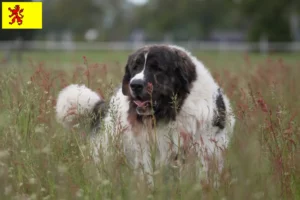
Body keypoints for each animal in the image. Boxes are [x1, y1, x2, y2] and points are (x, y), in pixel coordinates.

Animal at [55, 44, 234, 182]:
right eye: (135, 67)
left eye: (157, 68)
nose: (135, 85)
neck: (172, 113)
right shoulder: (148, 154)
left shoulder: (205, 150)